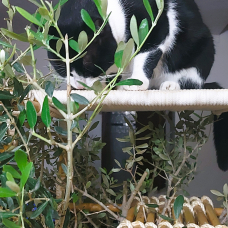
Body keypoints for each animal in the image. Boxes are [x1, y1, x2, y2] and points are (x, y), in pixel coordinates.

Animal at [47, 0, 228, 171]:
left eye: (87, 63)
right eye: (61, 66)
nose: (79, 84)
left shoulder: (155, 23)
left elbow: (146, 52)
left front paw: (137, 82)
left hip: (203, 49)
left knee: (192, 78)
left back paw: (171, 85)